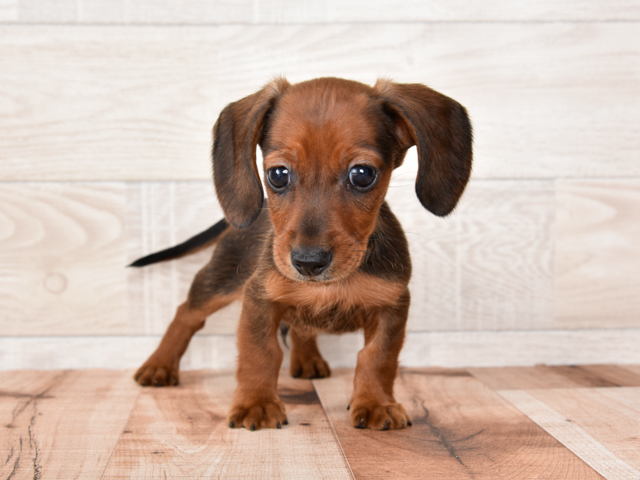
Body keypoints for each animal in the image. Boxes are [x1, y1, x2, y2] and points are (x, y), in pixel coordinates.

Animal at [131, 78, 470, 432]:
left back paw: (308, 359)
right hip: (220, 279)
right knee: (186, 313)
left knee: (300, 327)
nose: (309, 263)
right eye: (278, 174)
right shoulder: (259, 298)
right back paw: (159, 365)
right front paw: (256, 403)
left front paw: (376, 403)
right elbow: (260, 353)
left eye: (362, 174)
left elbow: (378, 358)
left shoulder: (392, 305)